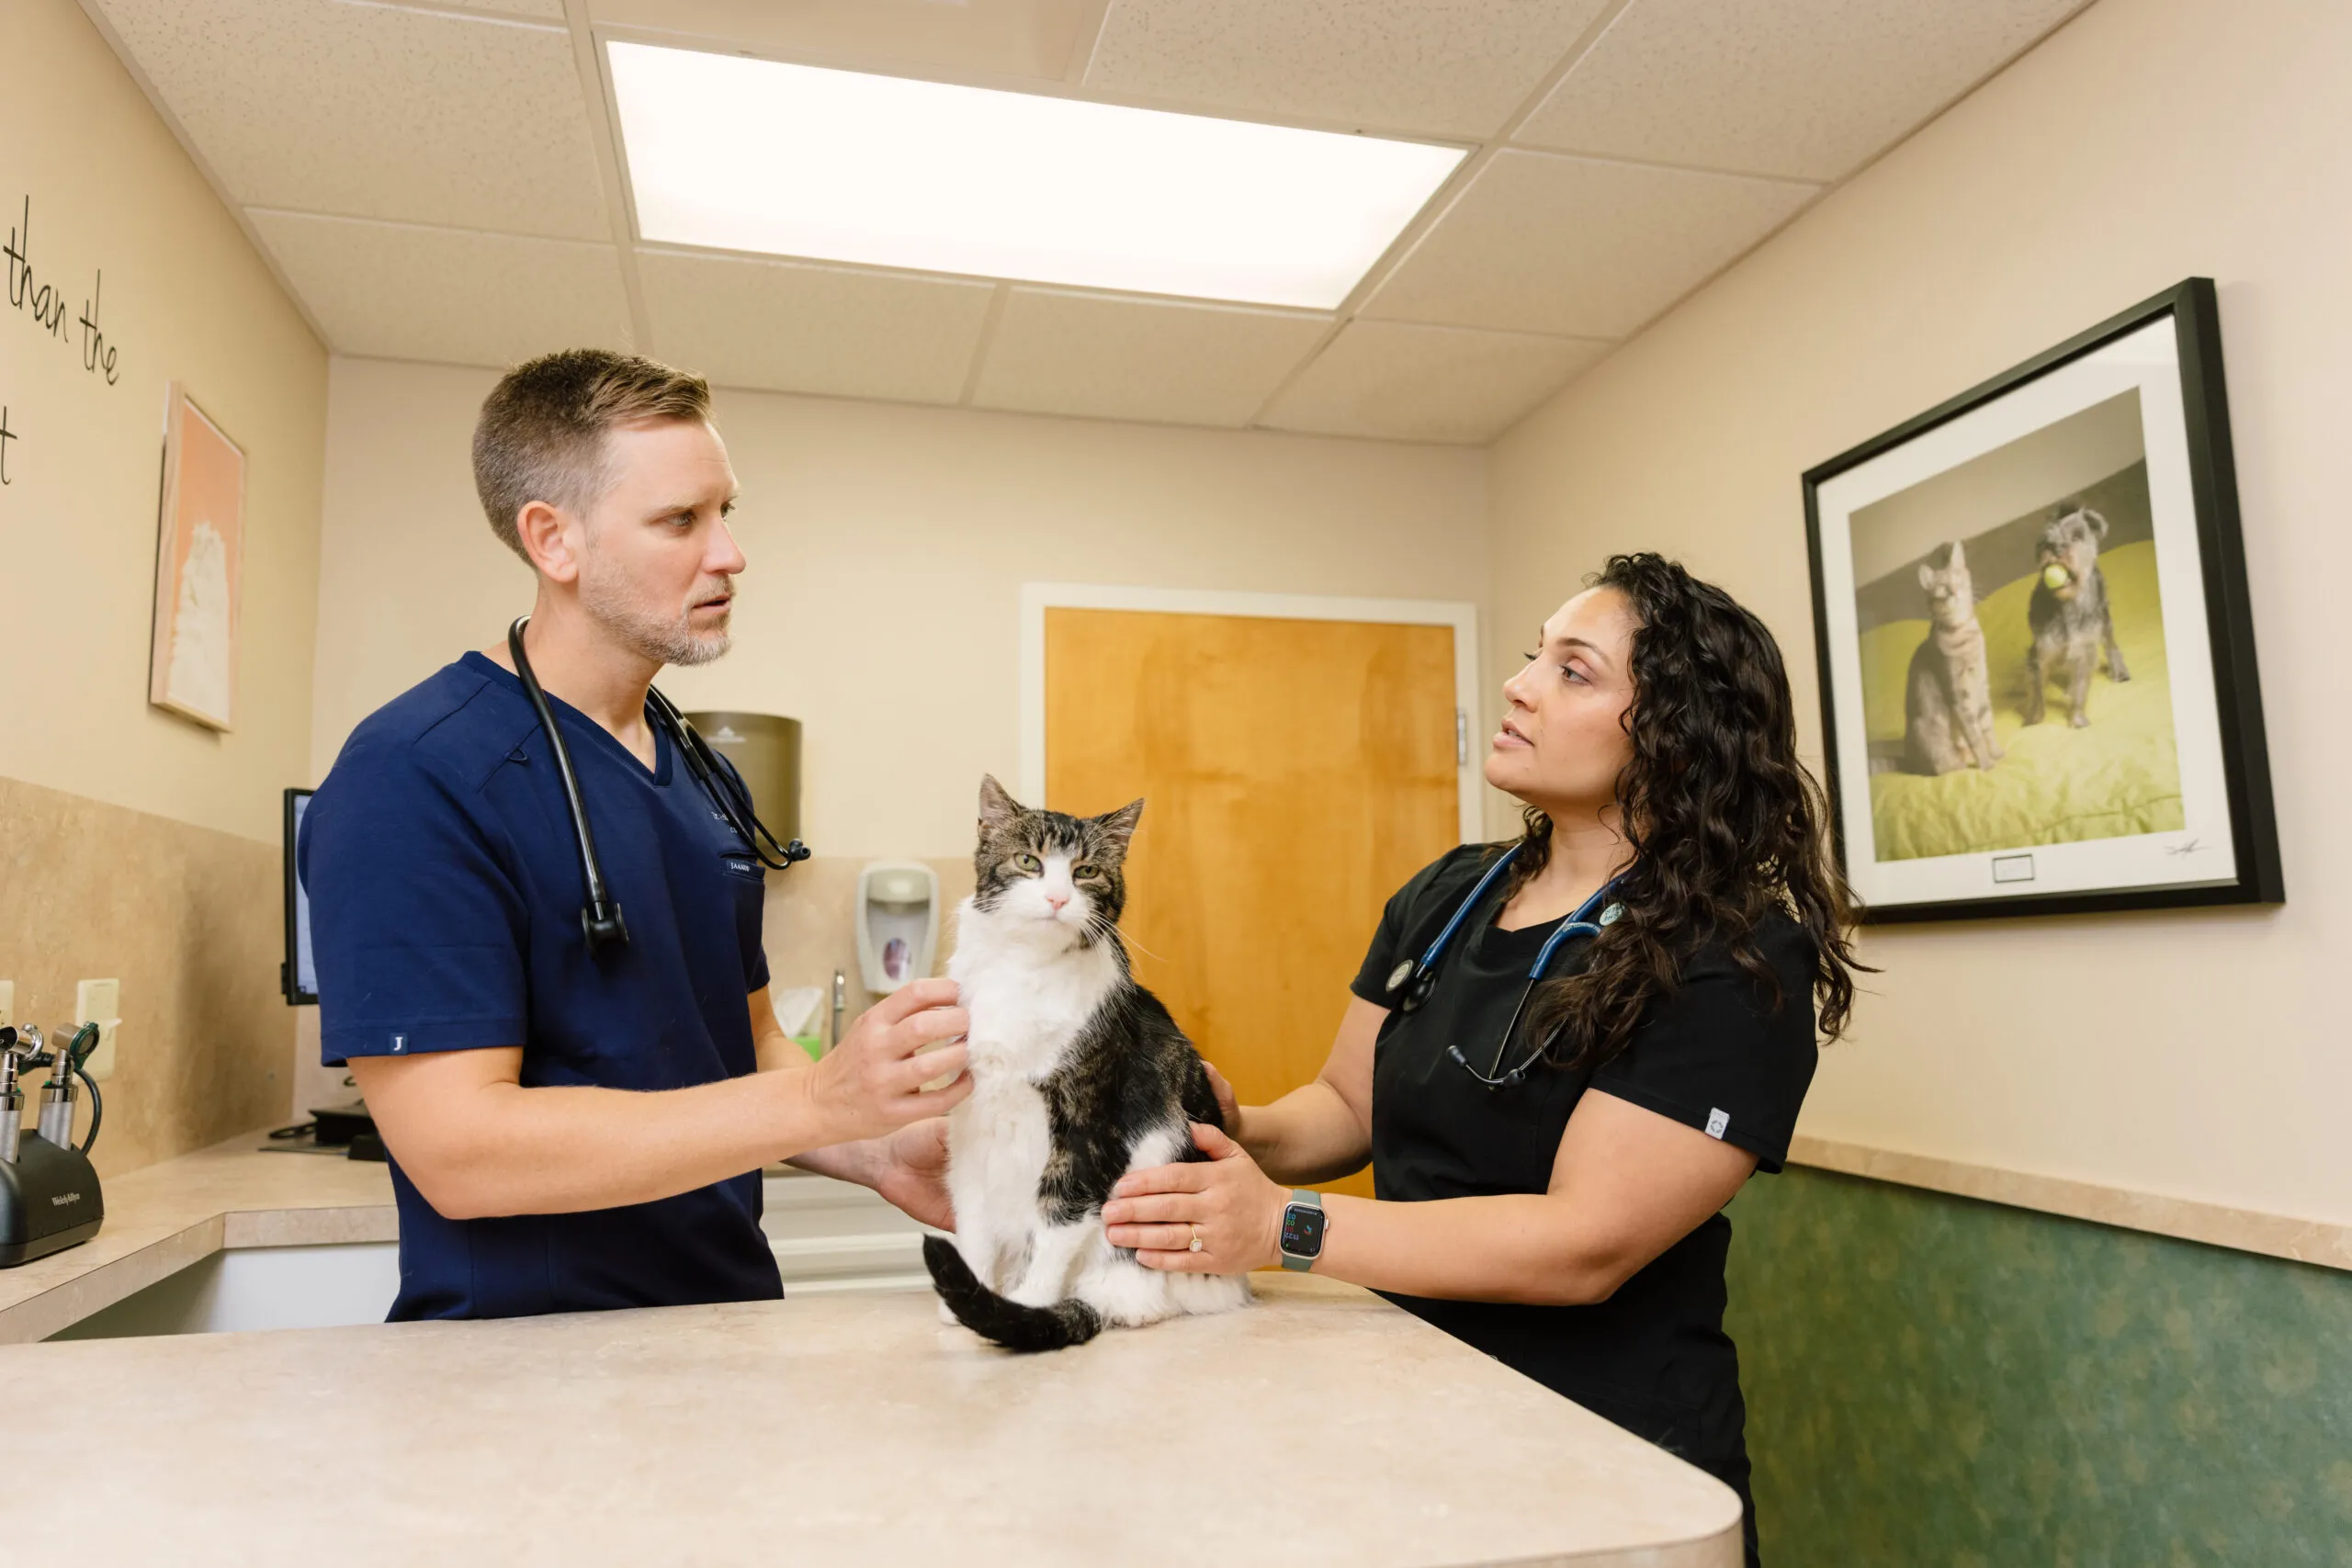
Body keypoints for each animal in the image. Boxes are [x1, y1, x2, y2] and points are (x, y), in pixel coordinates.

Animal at [922, 771, 1261, 1354]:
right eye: (1029, 861)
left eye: (1087, 871)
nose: (1059, 897)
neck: (1024, 973)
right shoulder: (972, 1125)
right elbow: (974, 1217)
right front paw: (971, 1292)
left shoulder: (1089, 1128)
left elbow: (1058, 1215)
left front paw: (1029, 1300)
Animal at [2022, 502, 2135, 728]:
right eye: (2045, 539)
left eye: (2077, 537)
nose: (2055, 548)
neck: (2067, 602)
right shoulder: (2042, 651)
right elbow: (2037, 688)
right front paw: (2034, 719)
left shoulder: (2085, 650)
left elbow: (2082, 686)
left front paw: (2076, 718)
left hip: (2104, 617)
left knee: (2110, 643)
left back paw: (2118, 670)